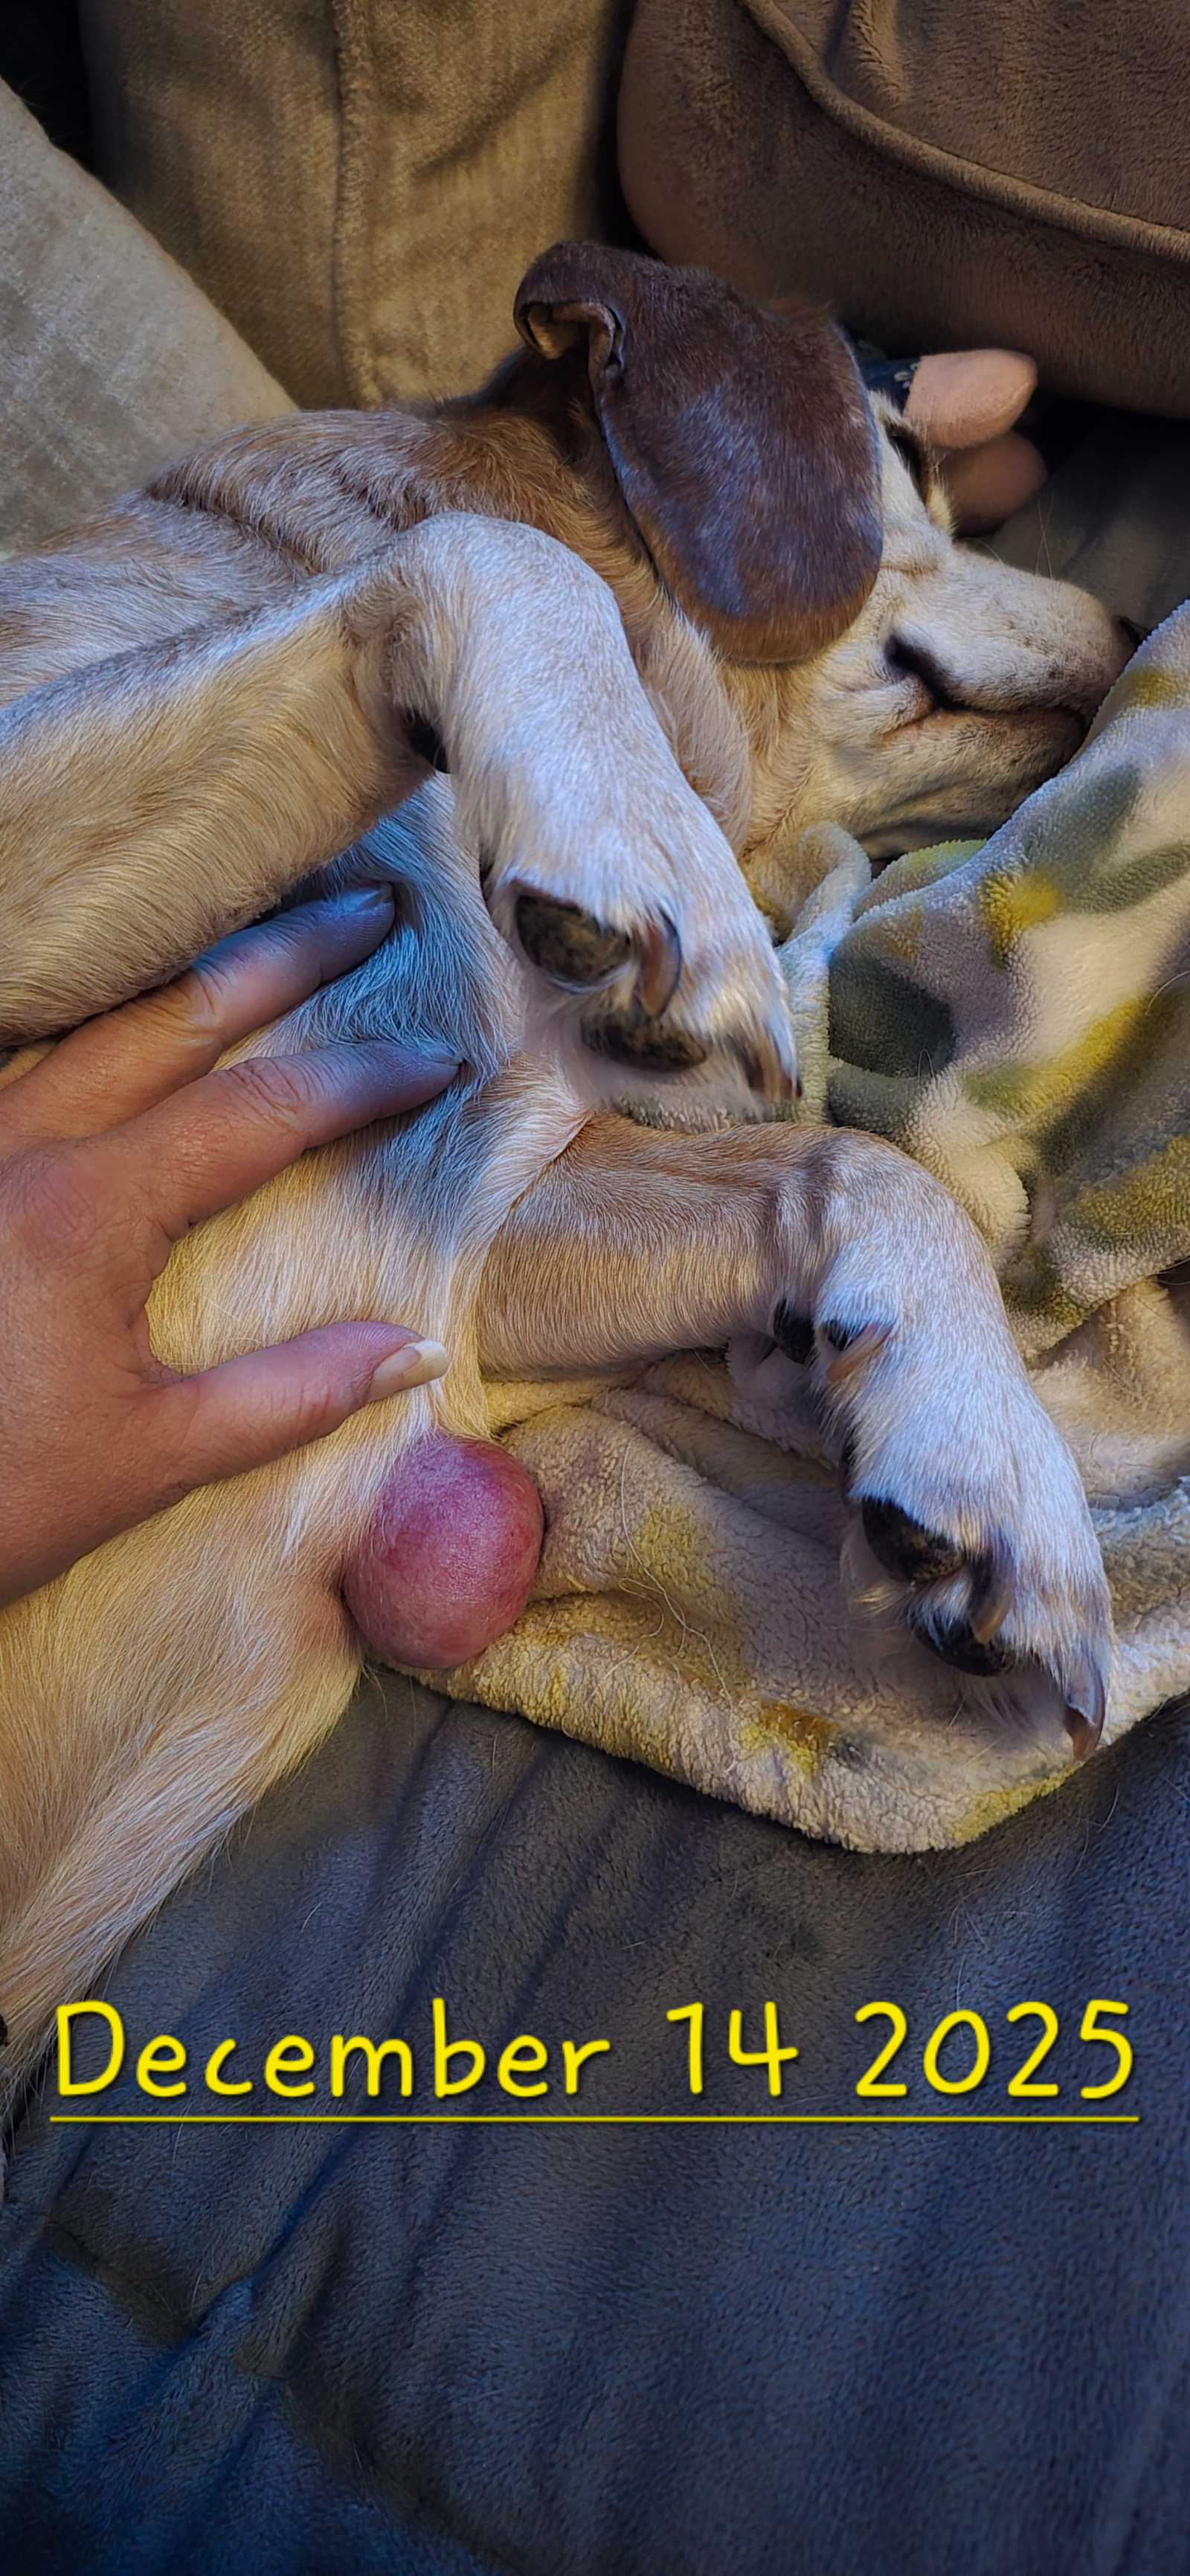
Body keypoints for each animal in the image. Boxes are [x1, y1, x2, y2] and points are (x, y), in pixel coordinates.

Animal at [0, 245, 1129, 2111]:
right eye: (902, 458)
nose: (1130, 641)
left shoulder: (473, 1228)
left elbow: (862, 1167)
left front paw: (984, 1463)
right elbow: (494, 553)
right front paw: (643, 846)